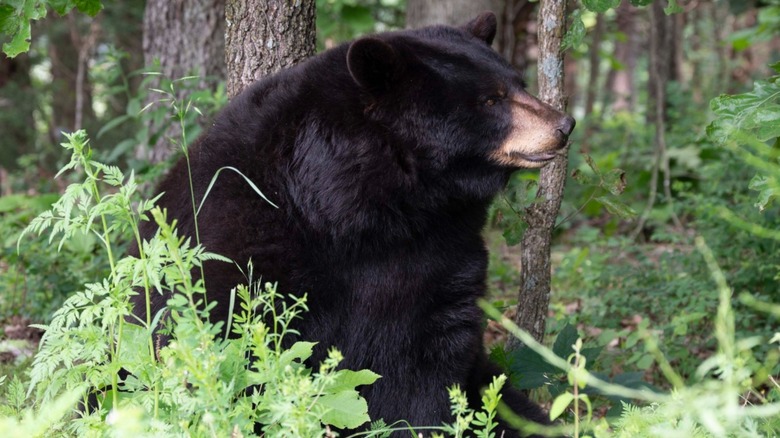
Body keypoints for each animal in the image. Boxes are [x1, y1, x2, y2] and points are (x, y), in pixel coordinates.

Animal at [133, 12, 572, 436]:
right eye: (491, 99)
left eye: (518, 84)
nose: (563, 125)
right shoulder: (240, 229)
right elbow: (225, 333)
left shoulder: (443, 254)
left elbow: (431, 362)